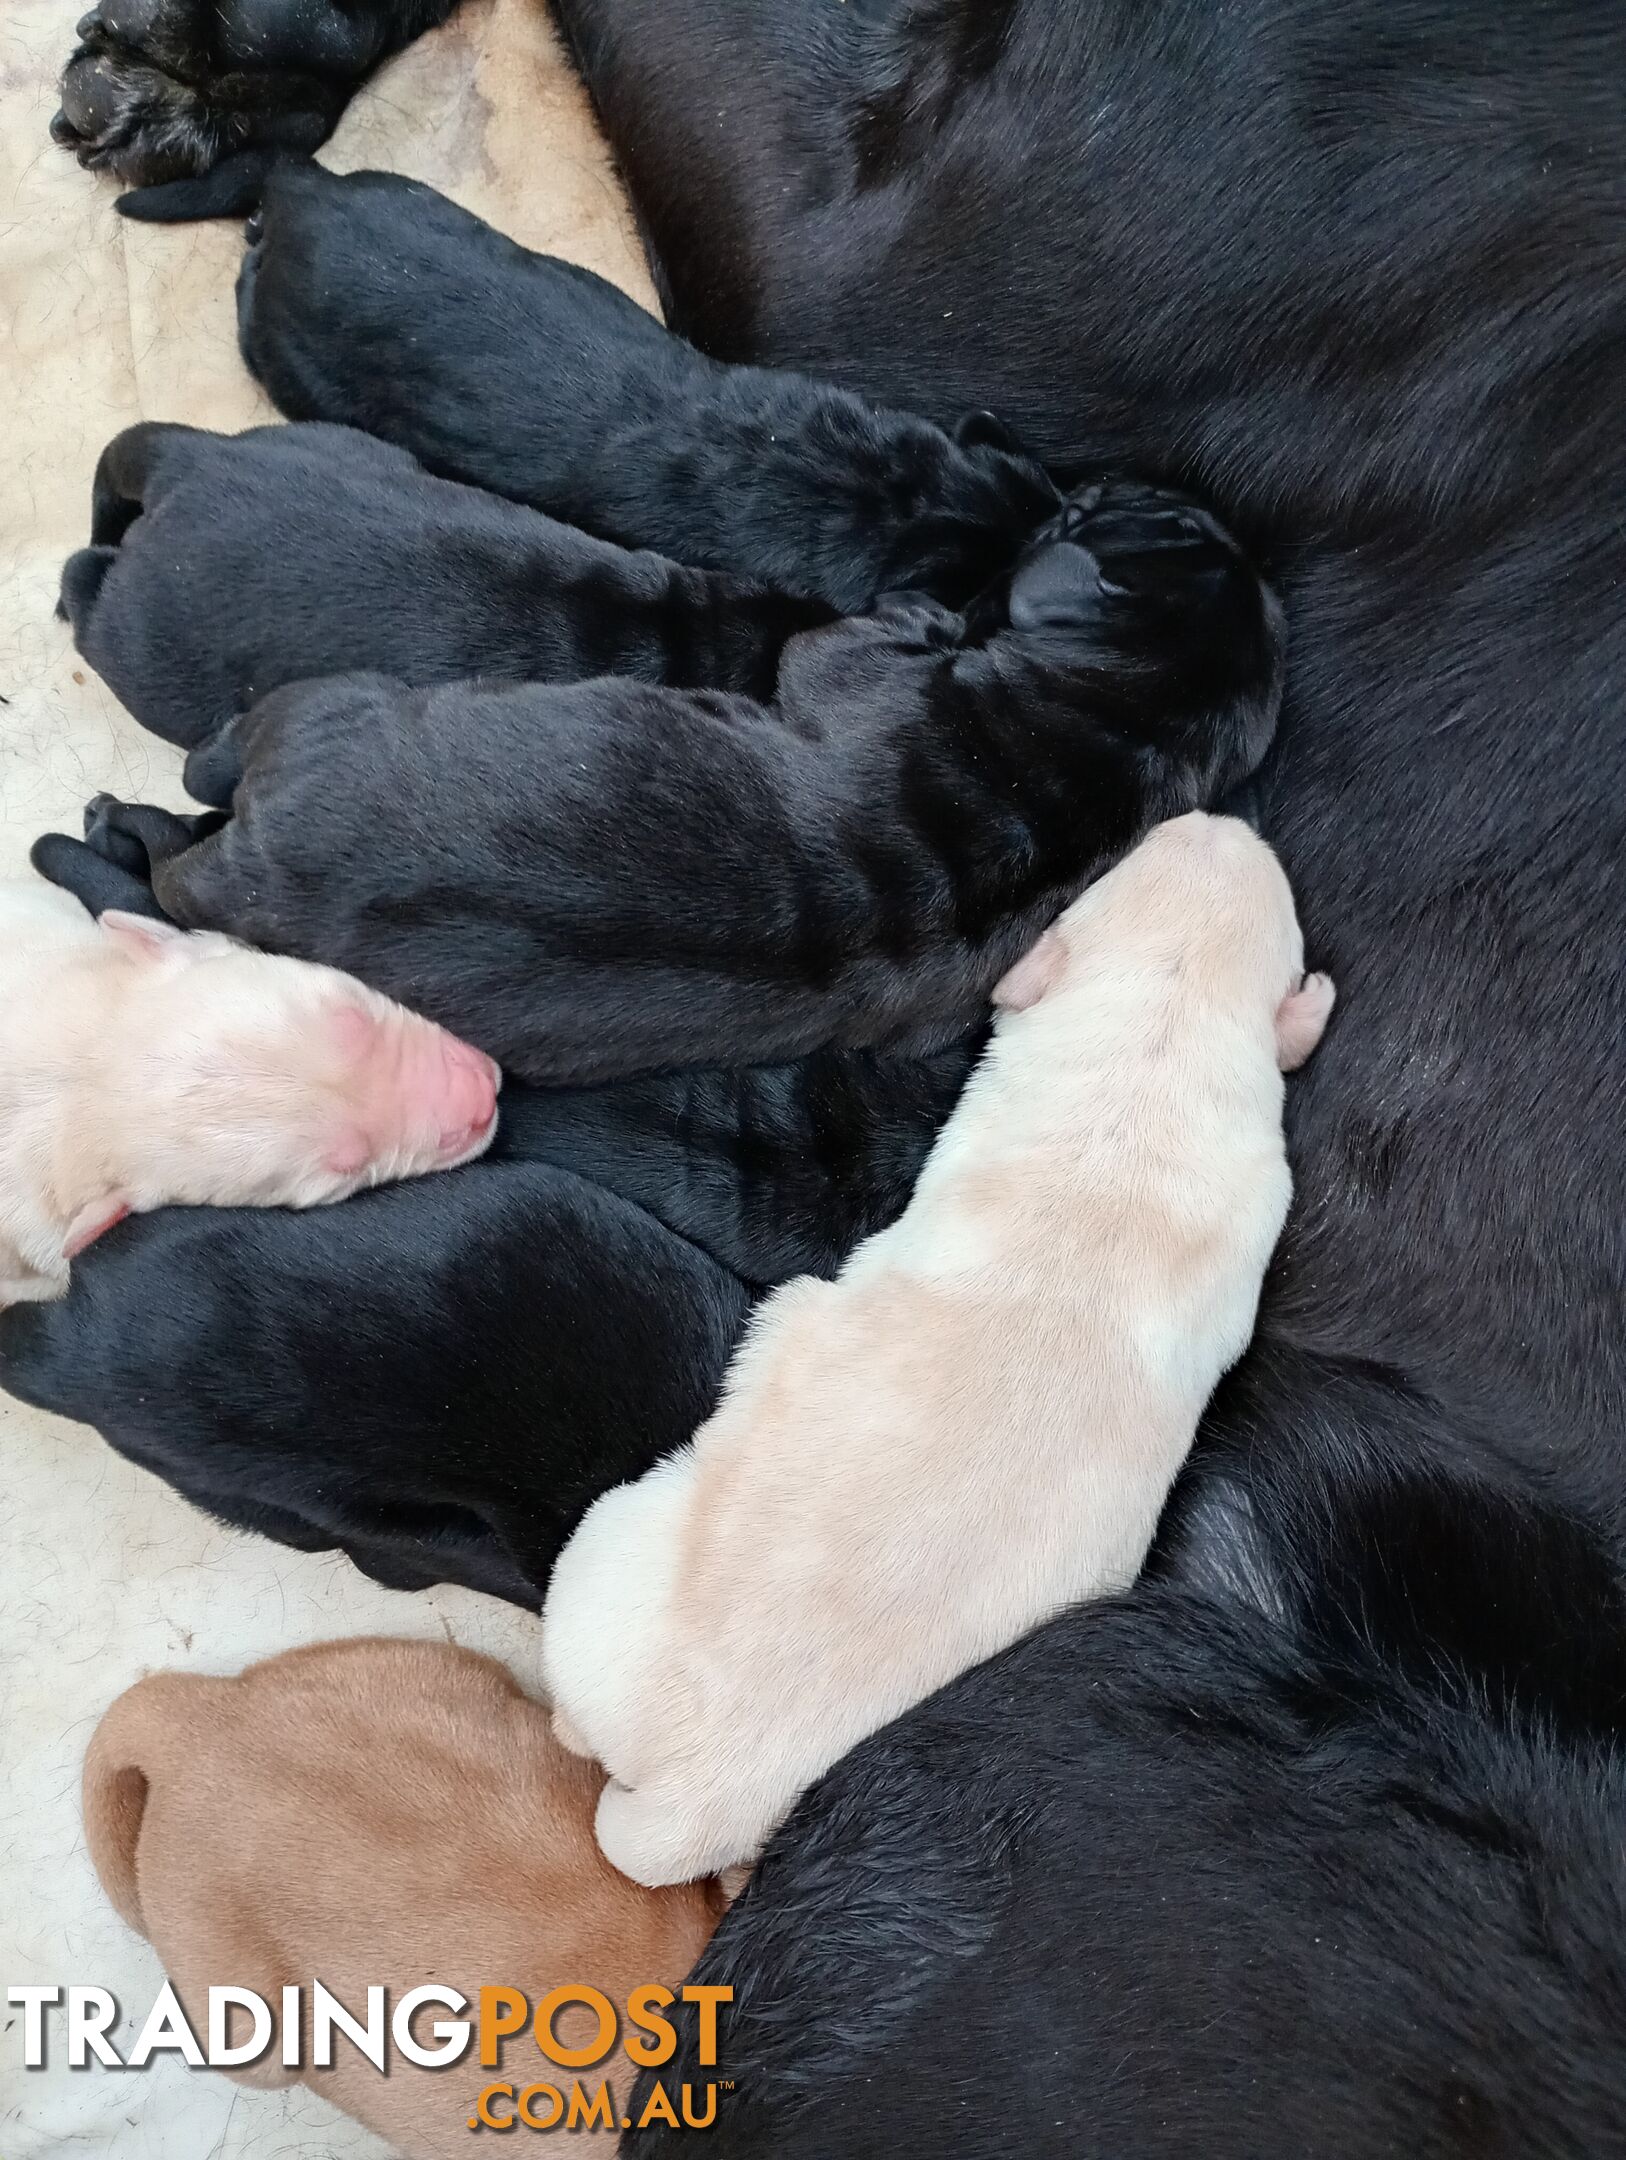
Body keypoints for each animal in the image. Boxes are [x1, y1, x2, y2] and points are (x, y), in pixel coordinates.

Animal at [139, 477, 1278, 1080]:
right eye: (1178, 518)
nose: (1095, 483)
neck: (1116, 732)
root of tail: (261, 869)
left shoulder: (853, 675)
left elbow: (830, 651)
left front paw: (926, 612)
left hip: (324, 707)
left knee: (211, 765)